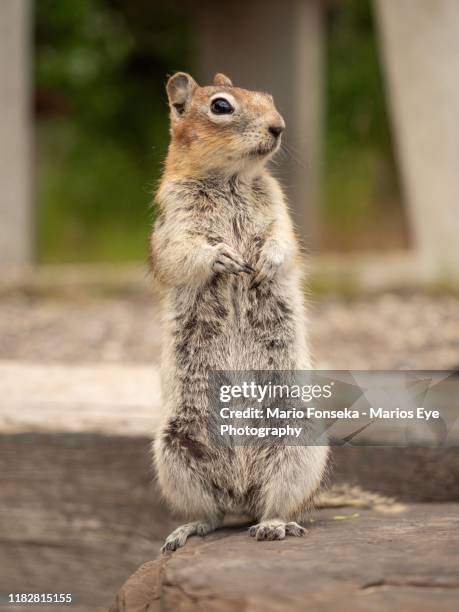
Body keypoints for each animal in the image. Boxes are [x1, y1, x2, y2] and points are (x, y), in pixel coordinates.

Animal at [153, 73, 328, 556]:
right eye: (220, 106)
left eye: (268, 97)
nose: (279, 127)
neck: (230, 179)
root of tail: (241, 490)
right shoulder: (173, 221)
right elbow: (183, 252)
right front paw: (222, 259)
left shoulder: (279, 210)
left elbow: (283, 241)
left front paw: (264, 261)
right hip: (175, 451)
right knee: (212, 516)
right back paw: (185, 531)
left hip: (298, 444)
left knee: (274, 505)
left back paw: (274, 525)